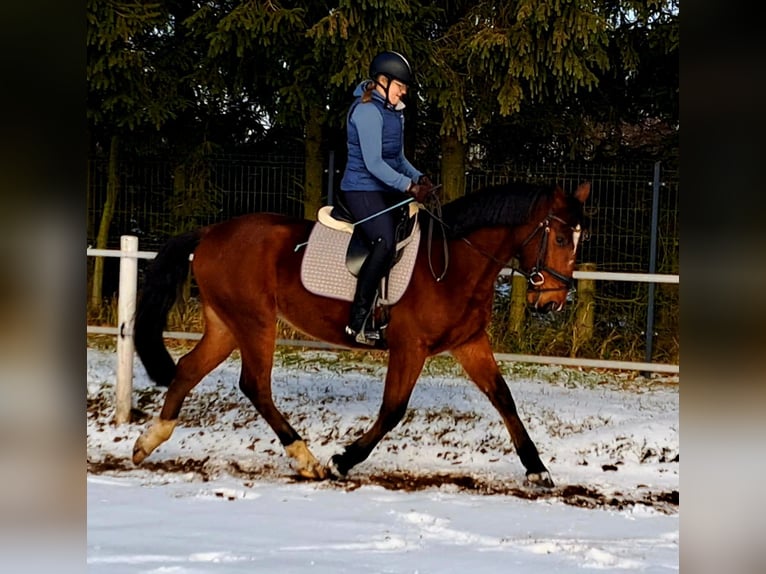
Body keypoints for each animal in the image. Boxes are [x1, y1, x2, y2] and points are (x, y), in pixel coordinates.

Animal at [131, 180, 590, 488]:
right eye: (560, 237)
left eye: (578, 240)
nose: (552, 302)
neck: (454, 263)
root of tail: (210, 233)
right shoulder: (409, 347)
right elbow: (393, 410)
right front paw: (343, 460)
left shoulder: (469, 343)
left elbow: (503, 398)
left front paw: (537, 469)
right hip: (254, 322)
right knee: (254, 384)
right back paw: (306, 459)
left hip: (227, 324)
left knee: (189, 369)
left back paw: (149, 441)